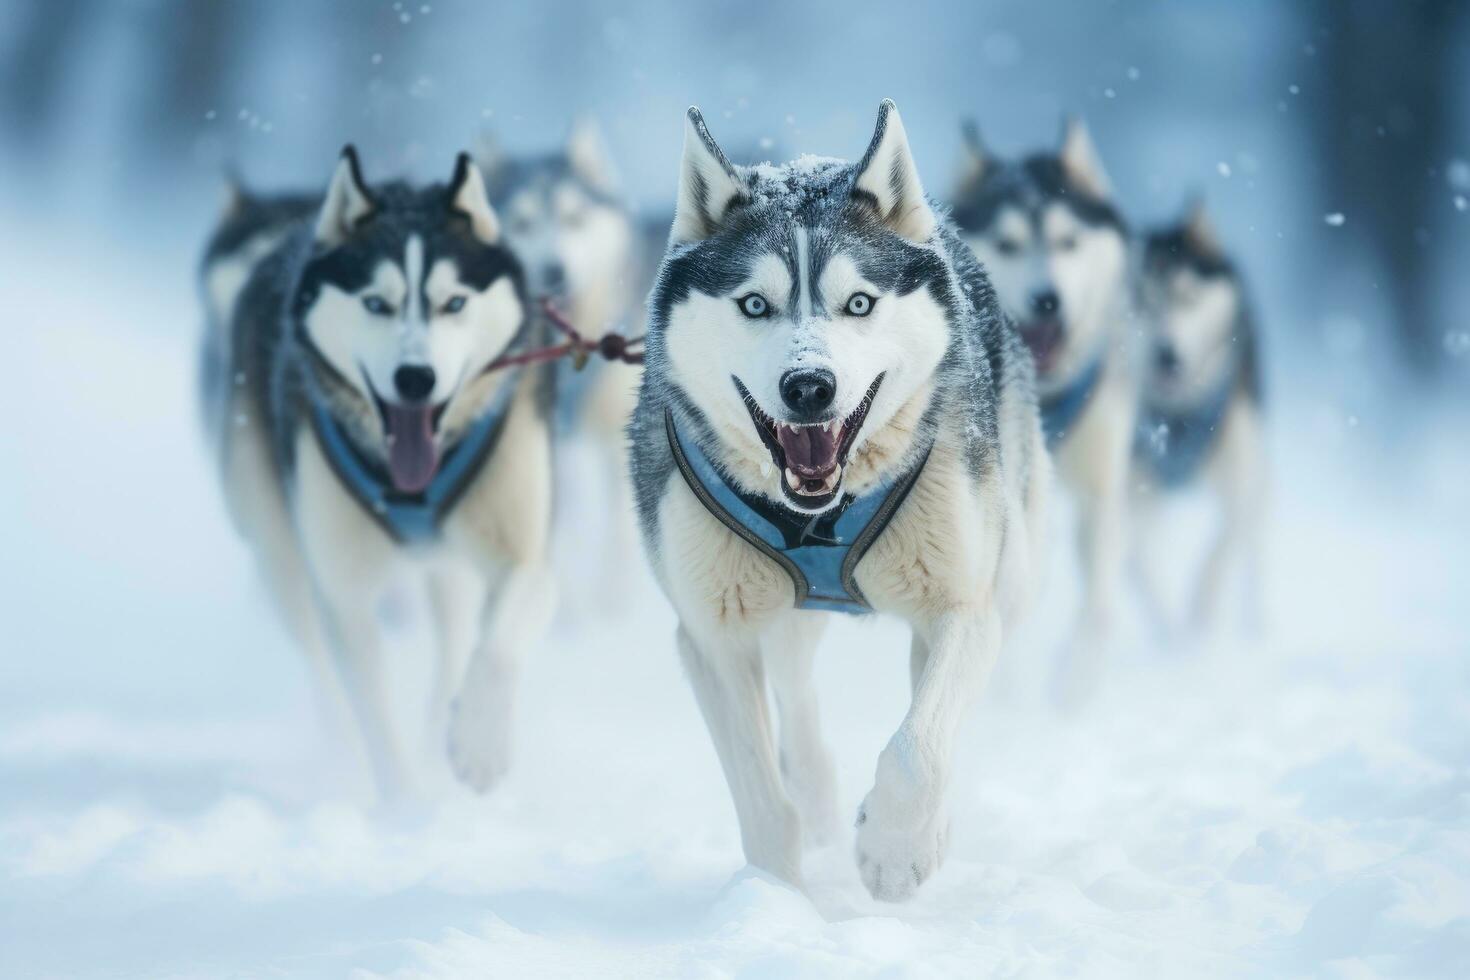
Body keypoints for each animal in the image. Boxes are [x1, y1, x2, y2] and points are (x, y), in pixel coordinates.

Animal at [204, 149, 552, 799]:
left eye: (454, 303)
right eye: (375, 303)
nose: (415, 379)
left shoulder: (522, 550)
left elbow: (499, 636)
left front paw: (480, 742)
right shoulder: (345, 591)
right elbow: (372, 712)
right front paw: (407, 807)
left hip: (449, 565)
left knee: (455, 638)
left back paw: (443, 731)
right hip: (277, 549)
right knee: (317, 660)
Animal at [629, 103, 1046, 899]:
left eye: (858, 303)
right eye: (753, 303)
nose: (808, 387)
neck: (819, 513)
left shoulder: (963, 606)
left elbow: (918, 747)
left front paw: (895, 849)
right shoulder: (711, 635)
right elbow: (762, 798)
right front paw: (774, 898)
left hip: (1006, 576)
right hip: (775, 608)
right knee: (796, 695)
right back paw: (820, 795)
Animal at [952, 119, 1134, 702]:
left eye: (1068, 241)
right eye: (1008, 244)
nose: (1047, 299)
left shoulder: (1101, 484)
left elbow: (1099, 603)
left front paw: (1076, 684)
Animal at [1128, 205, 1270, 631]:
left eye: (1187, 297)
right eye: (1140, 305)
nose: (1166, 354)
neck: (1180, 414)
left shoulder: (1241, 482)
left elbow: (1221, 552)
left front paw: (1200, 617)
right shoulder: (1133, 486)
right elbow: (1141, 561)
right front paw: (1171, 626)